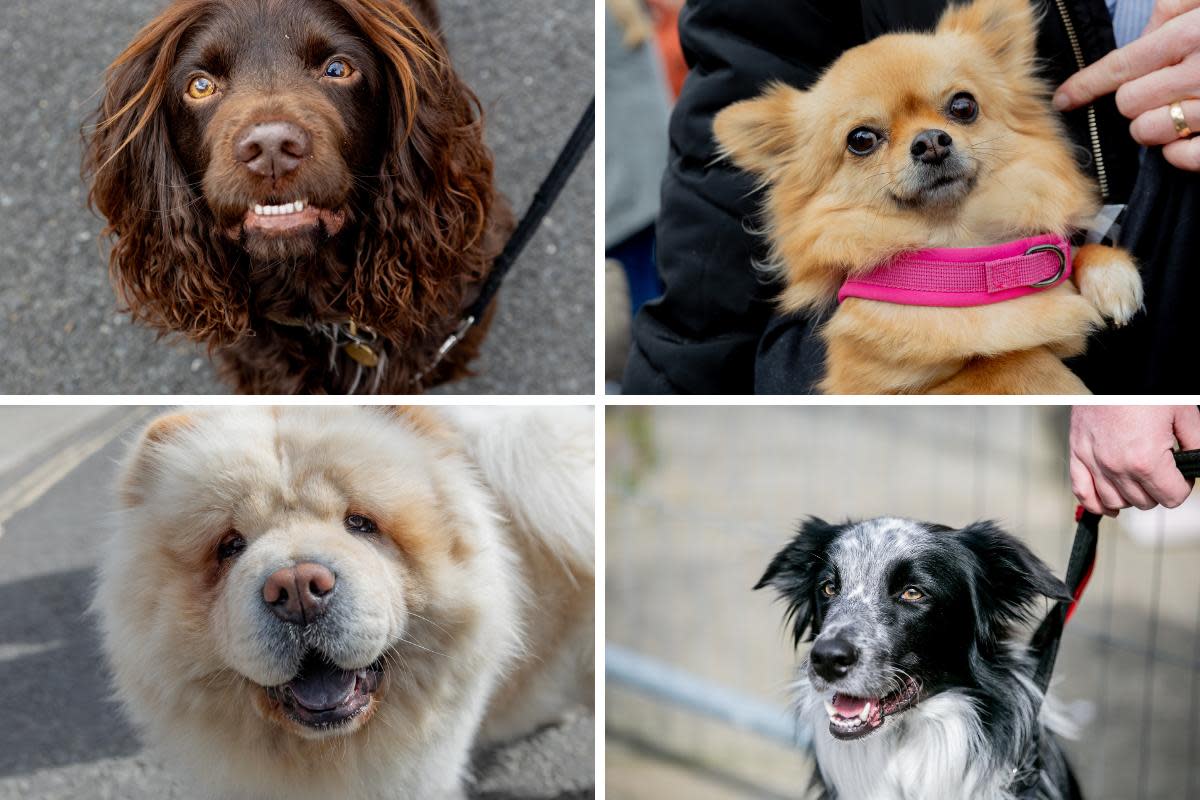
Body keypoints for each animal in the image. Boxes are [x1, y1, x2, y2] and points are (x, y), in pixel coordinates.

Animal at [710, 0, 1142, 393]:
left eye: (963, 105)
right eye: (861, 139)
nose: (931, 141)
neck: (963, 265)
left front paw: (1109, 272)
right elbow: (1008, 360)